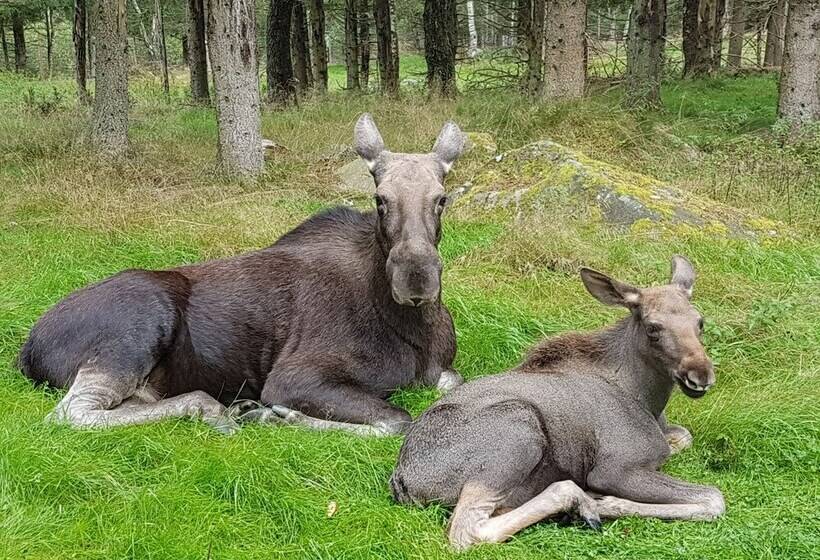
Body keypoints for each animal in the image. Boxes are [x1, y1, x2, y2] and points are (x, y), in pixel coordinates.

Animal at [19, 114, 464, 436]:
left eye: (441, 198)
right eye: (380, 199)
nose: (417, 280)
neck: (414, 328)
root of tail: (27, 349)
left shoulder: (441, 371)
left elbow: (452, 382)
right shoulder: (292, 379)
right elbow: (397, 420)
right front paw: (276, 416)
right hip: (135, 328)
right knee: (70, 413)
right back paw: (216, 409)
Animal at [392, 258, 724, 552]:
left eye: (700, 322)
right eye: (653, 327)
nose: (700, 375)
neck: (647, 398)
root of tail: (403, 481)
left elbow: (684, 438)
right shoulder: (617, 469)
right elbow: (714, 498)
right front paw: (608, 502)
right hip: (516, 433)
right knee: (467, 530)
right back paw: (580, 503)